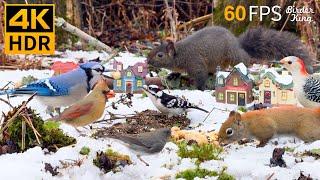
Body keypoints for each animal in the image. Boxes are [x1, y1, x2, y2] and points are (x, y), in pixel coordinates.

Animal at [147, 26, 312, 90]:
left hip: (233, 56)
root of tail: (238, 44)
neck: (180, 54)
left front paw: (199, 88)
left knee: (245, 60)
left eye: (160, 55)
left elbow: (200, 76)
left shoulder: (195, 63)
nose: (147, 61)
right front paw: (172, 75)